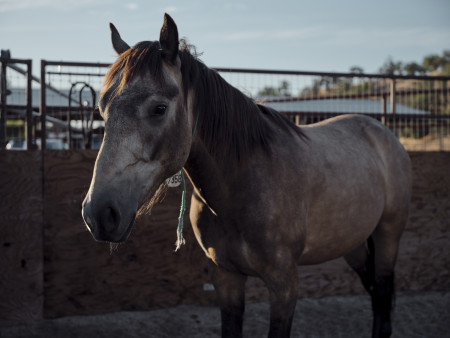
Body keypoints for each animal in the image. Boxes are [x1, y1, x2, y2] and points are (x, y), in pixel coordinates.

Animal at [81, 13, 412, 338]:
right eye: (102, 110)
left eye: (159, 108)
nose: (98, 213)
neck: (242, 186)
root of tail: (383, 132)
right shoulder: (226, 278)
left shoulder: (284, 284)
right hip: (353, 245)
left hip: (387, 237)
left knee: (382, 294)